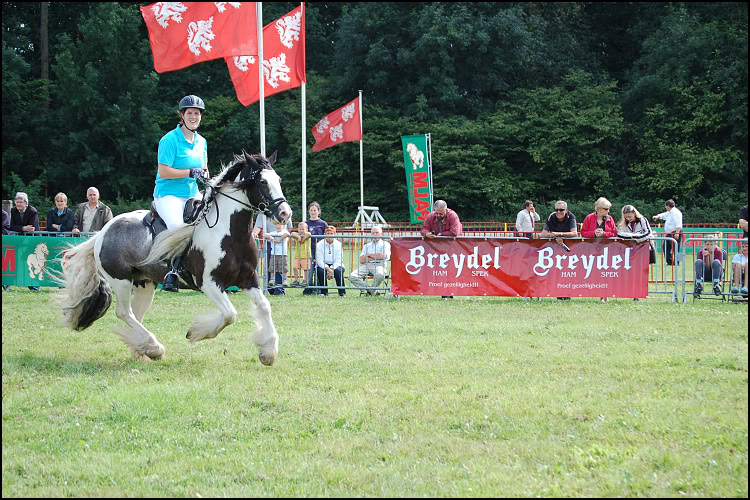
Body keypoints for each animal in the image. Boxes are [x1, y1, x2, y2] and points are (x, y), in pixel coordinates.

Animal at [53, 150, 292, 366]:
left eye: (278, 180)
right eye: (262, 181)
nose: (285, 213)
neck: (229, 232)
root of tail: (103, 231)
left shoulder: (248, 278)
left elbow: (264, 306)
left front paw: (268, 352)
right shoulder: (209, 283)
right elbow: (229, 314)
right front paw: (196, 332)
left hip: (145, 283)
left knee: (135, 314)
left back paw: (143, 350)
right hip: (121, 281)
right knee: (123, 312)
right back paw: (154, 347)